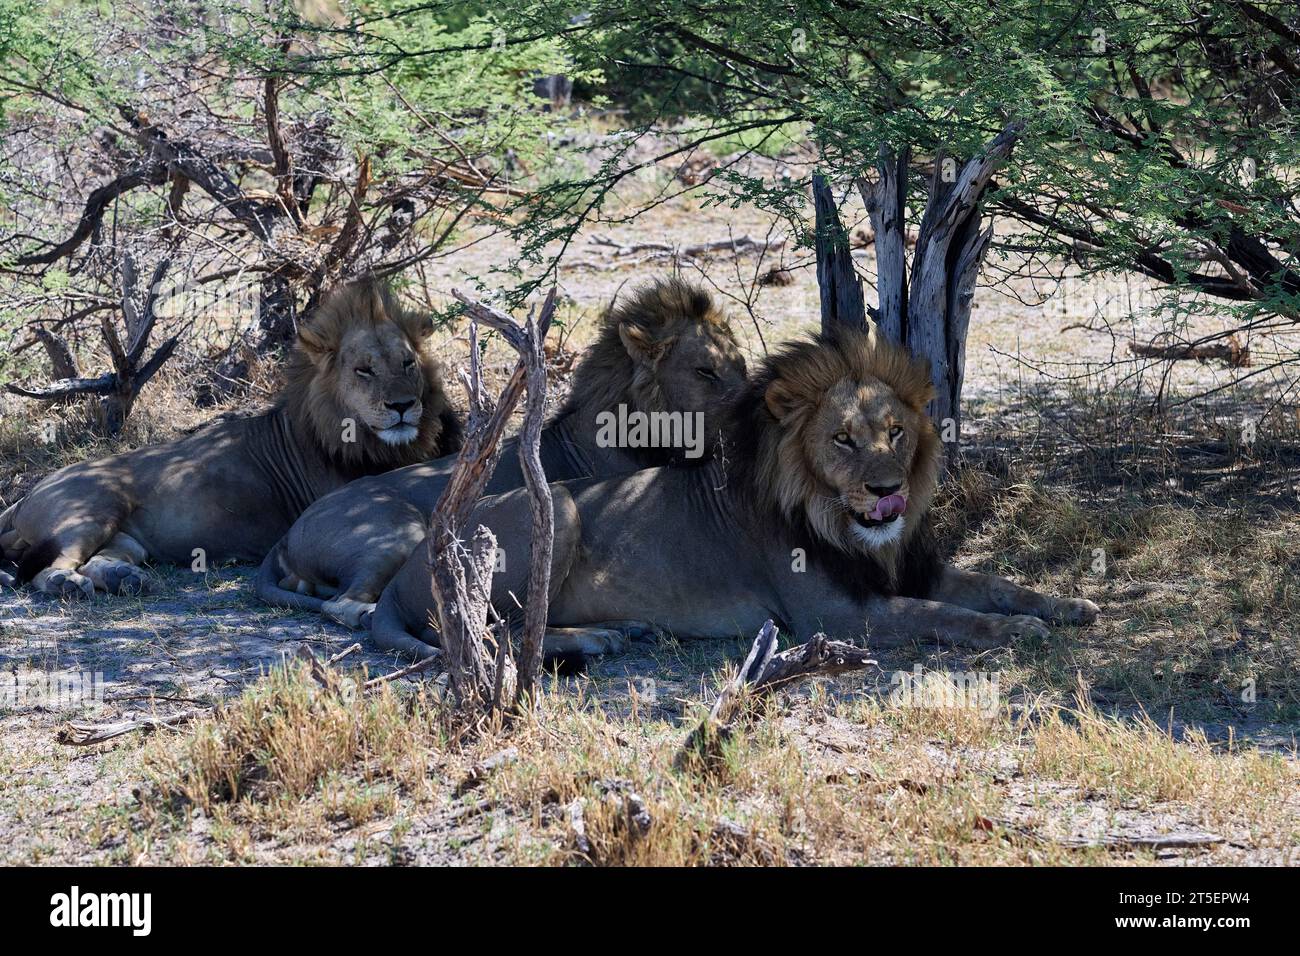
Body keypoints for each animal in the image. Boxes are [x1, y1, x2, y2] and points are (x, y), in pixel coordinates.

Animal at [0, 280, 465, 598]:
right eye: (363, 370)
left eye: (407, 363)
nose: (403, 405)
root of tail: (24, 496)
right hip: (91, 512)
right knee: (44, 571)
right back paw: (70, 585)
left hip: (127, 539)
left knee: (103, 561)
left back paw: (125, 578)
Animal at [253, 278, 748, 629]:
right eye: (705, 371)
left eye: (740, 366)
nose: (747, 405)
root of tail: (286, 535)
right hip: (396, 531)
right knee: (343, 605)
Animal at [369, 325, 1097, 660]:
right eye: (842, 440)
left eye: (895, 432)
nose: (887, 489)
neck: (843, 522)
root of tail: (401, 575)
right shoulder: (838, 615)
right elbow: (944, 615)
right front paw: (1019, 631)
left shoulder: (907, 569)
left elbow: (992, 583)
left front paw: (1067, 604)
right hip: (565, 506)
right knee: (493, 631)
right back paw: (598, 641)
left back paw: (620, 629)